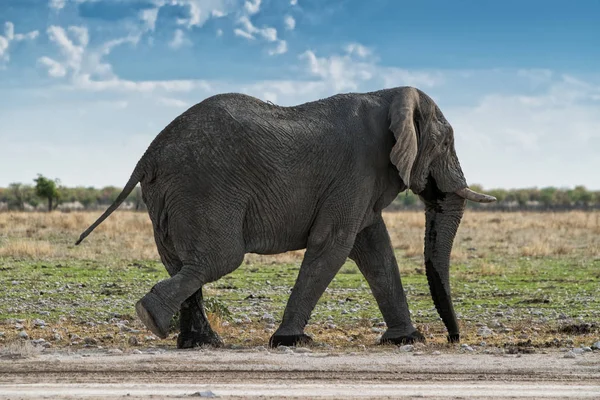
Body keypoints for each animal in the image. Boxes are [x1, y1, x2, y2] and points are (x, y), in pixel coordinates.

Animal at [76, 86, 496, 348]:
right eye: (446, 143)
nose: (453, 339)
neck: (389, 95)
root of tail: (149, 154)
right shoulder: (356, 169)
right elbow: (334, 243)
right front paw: (291, 341)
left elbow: (374, 246)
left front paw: (406, 340)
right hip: (202, 188)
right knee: (218, 259)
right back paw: (151, 318)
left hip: (168, 195)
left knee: (180, 261)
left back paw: (200, 343)